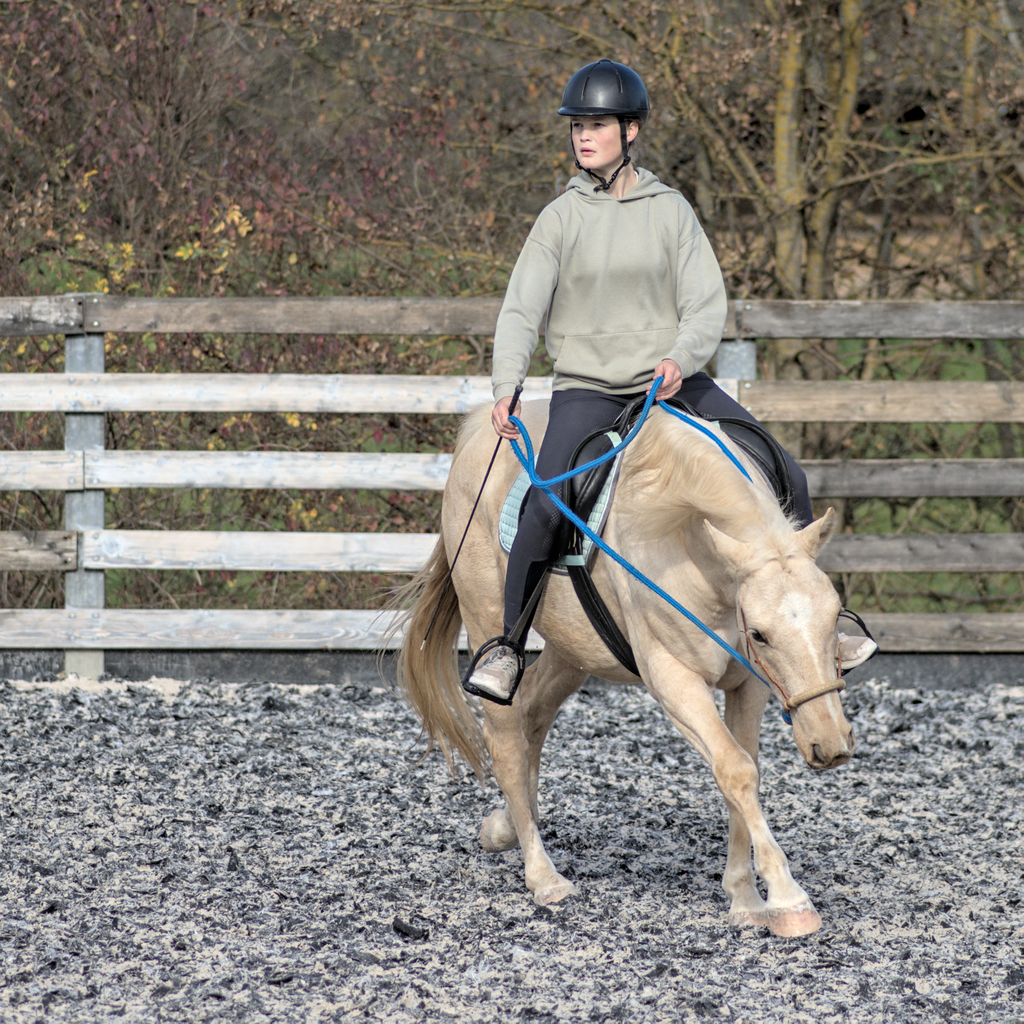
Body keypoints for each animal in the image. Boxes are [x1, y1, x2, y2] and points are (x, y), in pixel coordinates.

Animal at [399, 397, 856, 937]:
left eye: (833, 615)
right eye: (761, 633)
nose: (832, 746)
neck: (685, 541)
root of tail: (481, 431)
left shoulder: (749, 684)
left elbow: (742, 772)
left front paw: (745, 898)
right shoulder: (673, 678)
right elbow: (736, 770)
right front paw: (788, 900)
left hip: (573, 651)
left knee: (533, 713)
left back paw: (506, 825)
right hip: (486, 615)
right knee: (507, 736)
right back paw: (543, 877)